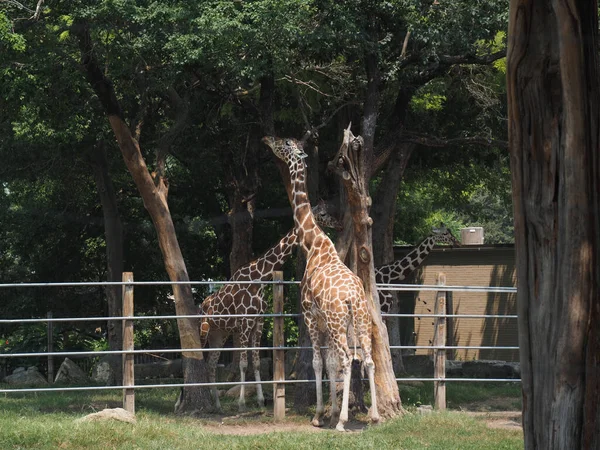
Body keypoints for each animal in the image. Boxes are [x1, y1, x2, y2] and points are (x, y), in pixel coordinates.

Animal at [199, 203, 340, 412]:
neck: (261, 277)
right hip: (204, 330)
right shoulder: (245, 321)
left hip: (219, 334)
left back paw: (216, 404)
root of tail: (202, 306)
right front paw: (242, 404)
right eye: (322, 213)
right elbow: (243, 363)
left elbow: (256, 363)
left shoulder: (258, 321)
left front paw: (260, 402)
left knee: (210, 364)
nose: (338, 223)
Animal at [264, 136, 380, 432]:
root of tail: (353, 297)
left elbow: (319, 362)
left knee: (349, 360)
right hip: (360, 321)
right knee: (368, 359)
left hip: (340, 324)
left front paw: (320, 415)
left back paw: (343, 421)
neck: (313, 243)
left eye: (285, 143)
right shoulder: (324, 321)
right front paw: (330, 411)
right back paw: (374, 416)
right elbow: (329, 364)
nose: (267, 139)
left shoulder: (310, 315)